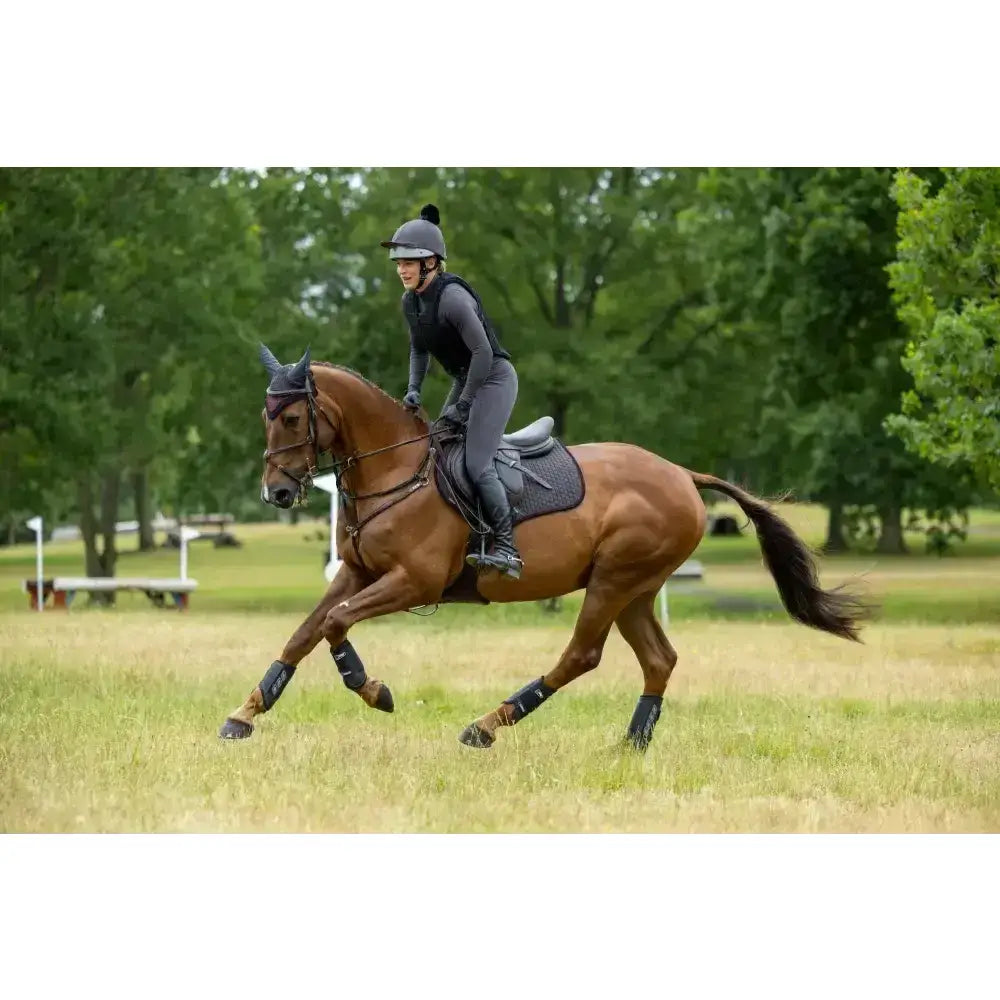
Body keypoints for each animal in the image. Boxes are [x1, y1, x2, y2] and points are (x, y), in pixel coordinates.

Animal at [218, 346, 868, 750]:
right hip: (635, 589)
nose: (277, 492)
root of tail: (683, 474)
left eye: (293, 418)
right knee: (658, 660)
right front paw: (245, 713)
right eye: (264, 416)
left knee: (581, 655)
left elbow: (336, 625)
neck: (396, 472)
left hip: (613, 580)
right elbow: (306, 631)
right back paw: (632, 744)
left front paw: (373, 690)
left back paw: (488, 725)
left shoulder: (413, 582)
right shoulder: (354, 572)